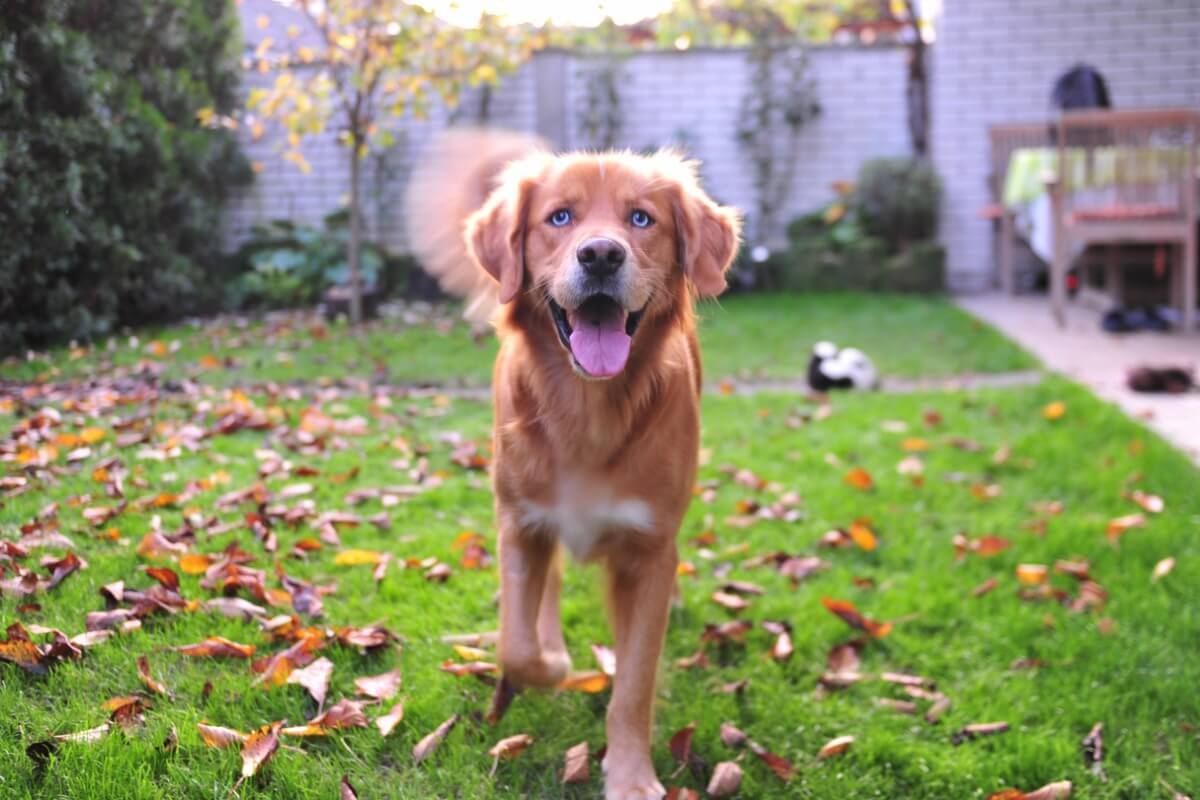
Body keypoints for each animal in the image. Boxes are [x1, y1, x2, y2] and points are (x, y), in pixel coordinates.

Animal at [405, 128, 739, 796]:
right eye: (559, 217)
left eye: (642, 218)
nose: (602, 256)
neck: (588, 407)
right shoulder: (520, 524)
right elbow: (517, 644)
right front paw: (553, 663)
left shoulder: (649, 553)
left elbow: (634, 681)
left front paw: (631, 774)